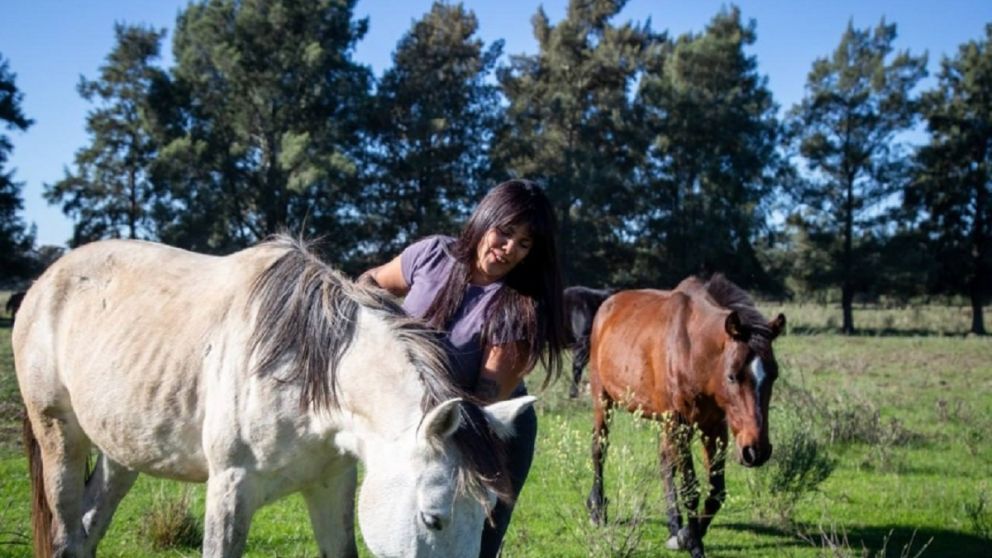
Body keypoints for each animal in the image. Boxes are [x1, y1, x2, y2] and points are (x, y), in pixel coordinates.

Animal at [13, 235, 535, 558]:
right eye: (433, 519)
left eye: (489, 515)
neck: (304, 377)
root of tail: (45, 281)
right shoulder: (230, 487)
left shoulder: (330, 484)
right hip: (59, 435)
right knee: (67, 534)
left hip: (122, 451)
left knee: (89, 527)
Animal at [586, 275, 785, 558]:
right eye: (732, 376)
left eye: (774, 374)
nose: (755, 451)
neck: (693, 352)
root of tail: (607, 305)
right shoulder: (680, 424)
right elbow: (691, 488)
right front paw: (692, 542)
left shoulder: (713, 427)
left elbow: (716, 491)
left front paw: (687, 534)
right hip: (603, 400)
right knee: (599, 448)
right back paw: (597, 509)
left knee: (664, 462)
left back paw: (673, 525)